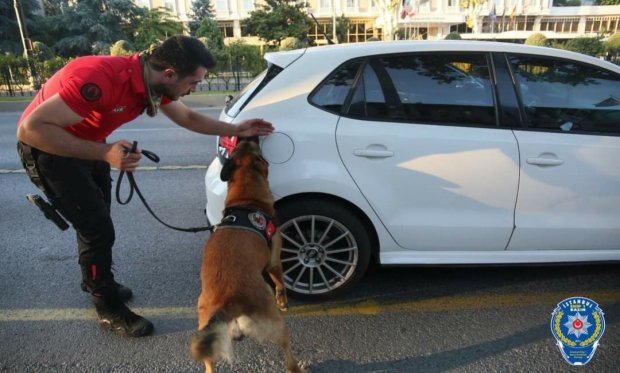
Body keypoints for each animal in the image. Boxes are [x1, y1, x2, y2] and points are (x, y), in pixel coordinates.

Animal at [189, 137, 306, 372]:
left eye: (239, 146)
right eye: (256, 148)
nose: (246, 136)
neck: (245, 199)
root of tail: (228, 300)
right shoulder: (273, 262)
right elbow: (280, 282)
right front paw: (283, 300)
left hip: (206, 329)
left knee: (209, 364)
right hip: (276, 324)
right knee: (287, 352)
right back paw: (297, 366)